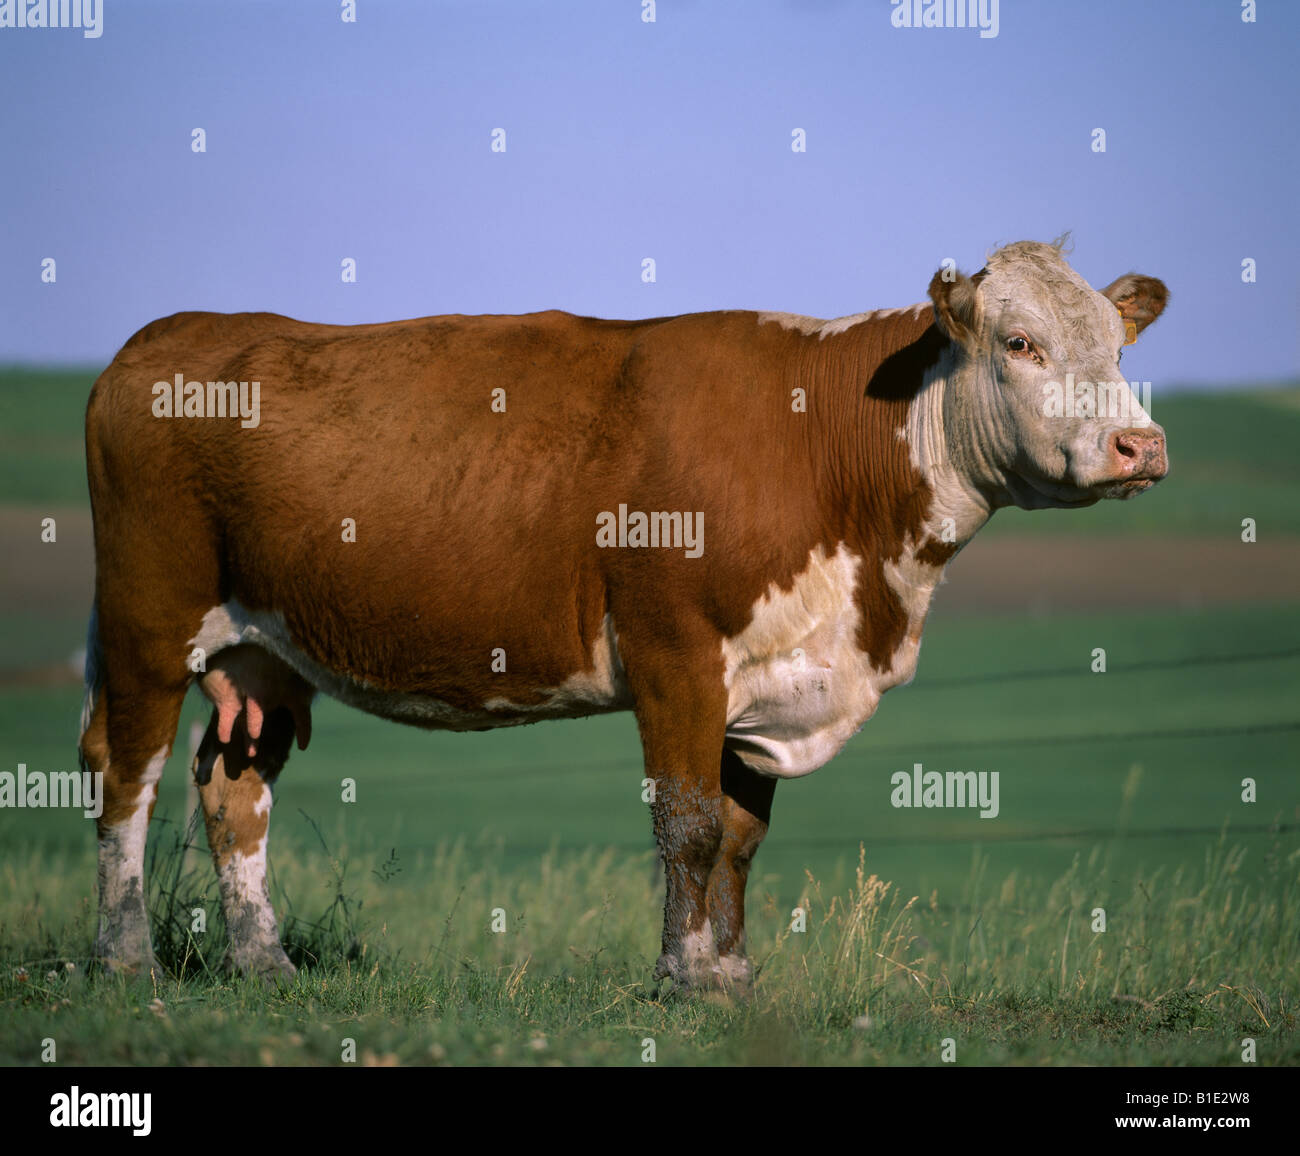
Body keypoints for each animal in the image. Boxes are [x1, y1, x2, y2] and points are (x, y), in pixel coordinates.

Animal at [86, 239, 1175, 988]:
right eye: (1020, 342)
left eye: (1120, 347)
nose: (1141, 445)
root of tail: (166, 334)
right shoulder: (675, 653)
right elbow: (687, 825)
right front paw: (683, 978)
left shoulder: (762, 677)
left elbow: (739, 835)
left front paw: (730, 976)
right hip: (147, 622)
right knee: (125, 782)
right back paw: (127, 960)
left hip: (261, 653)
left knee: (234, 790)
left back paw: (263, 964)